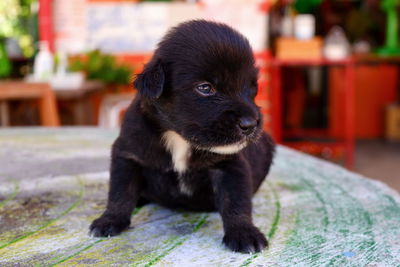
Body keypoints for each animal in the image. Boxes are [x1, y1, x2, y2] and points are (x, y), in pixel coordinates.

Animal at [89, 19, 276, 254]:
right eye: (205, 88)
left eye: (252, 88)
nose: (250, 124)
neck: (178, 137)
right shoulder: (128, 155)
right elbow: (120, 192)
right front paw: (110, 220)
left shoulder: (231, 165)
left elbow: (236, 202)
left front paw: (244, 232)